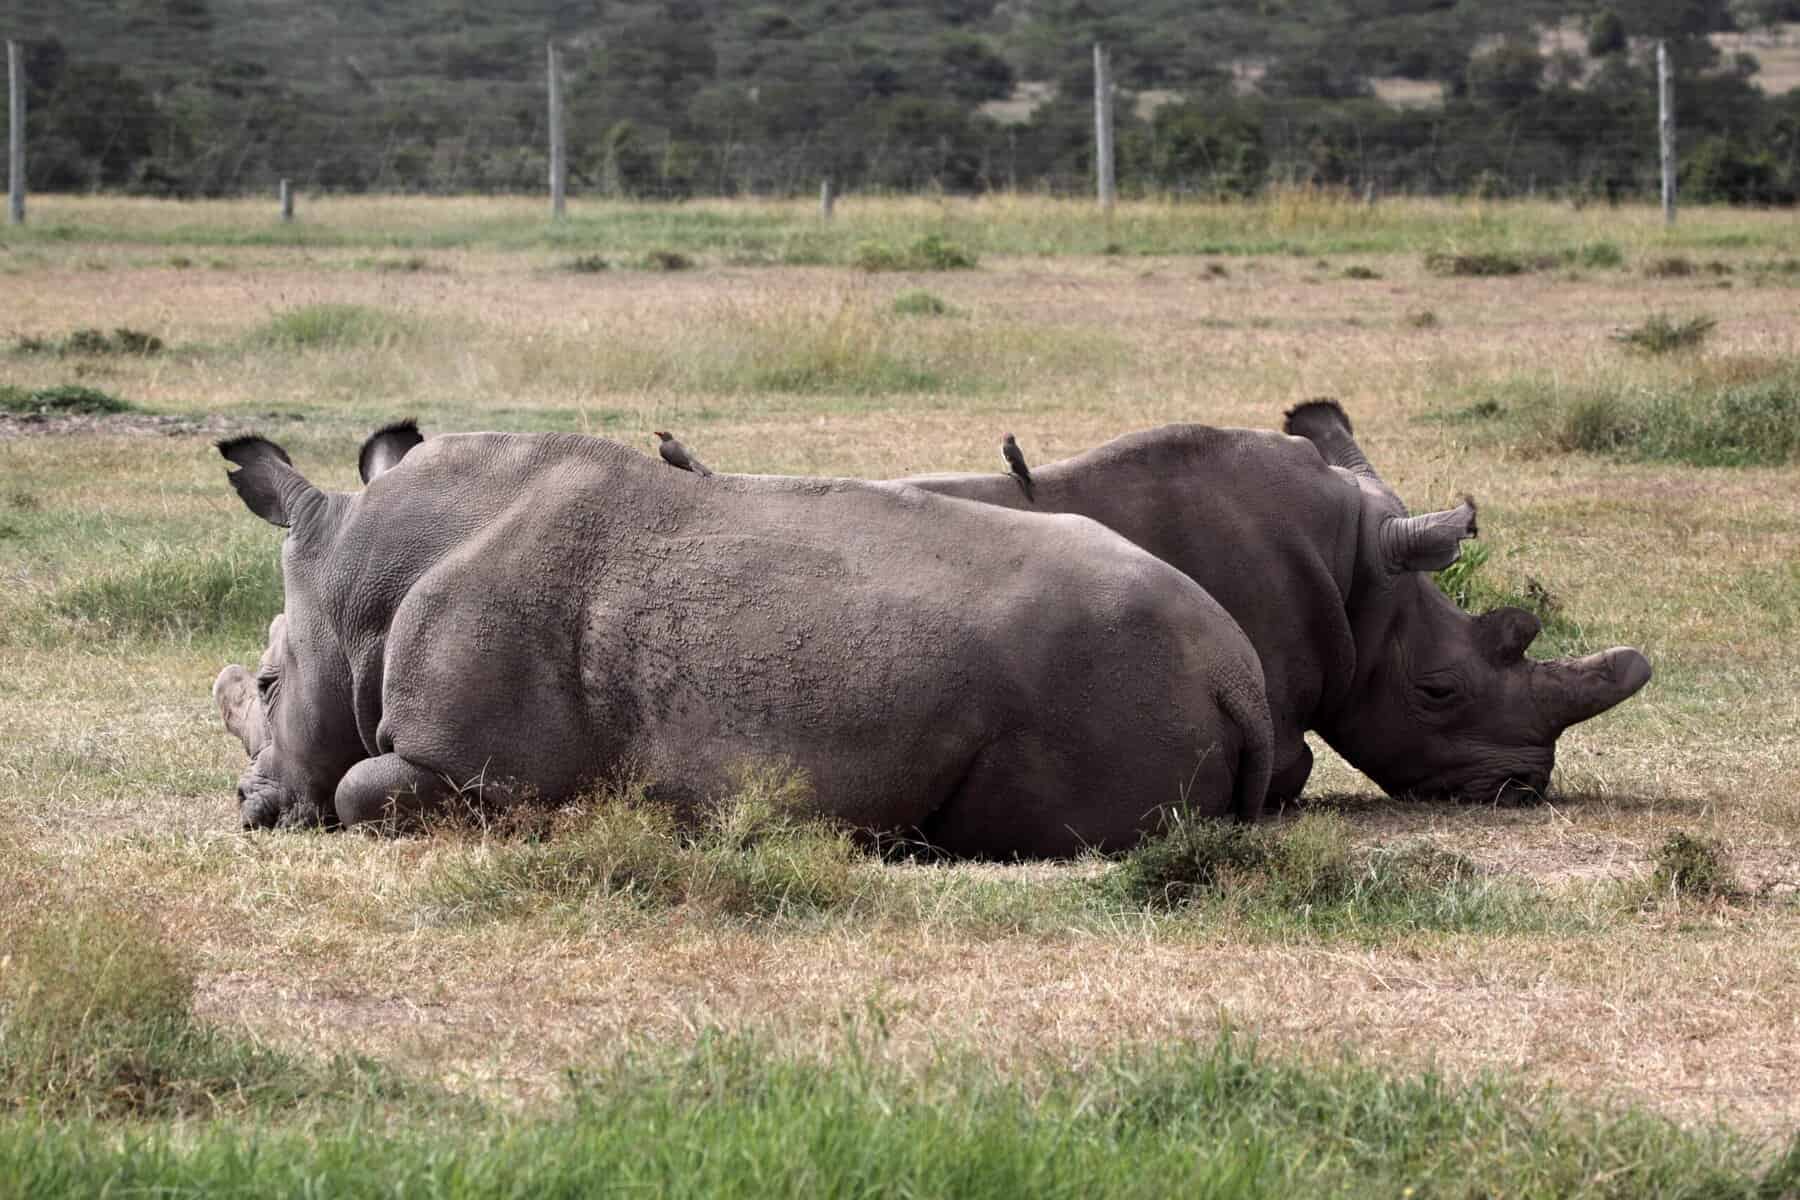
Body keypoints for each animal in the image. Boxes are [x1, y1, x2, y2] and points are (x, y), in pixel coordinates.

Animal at [211, 426, 1272, 856]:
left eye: (265, 683)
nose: (250, 807)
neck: (361, 583)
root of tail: (1240, 675)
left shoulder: (472, 766)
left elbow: (359, 788)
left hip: (1103, 675)